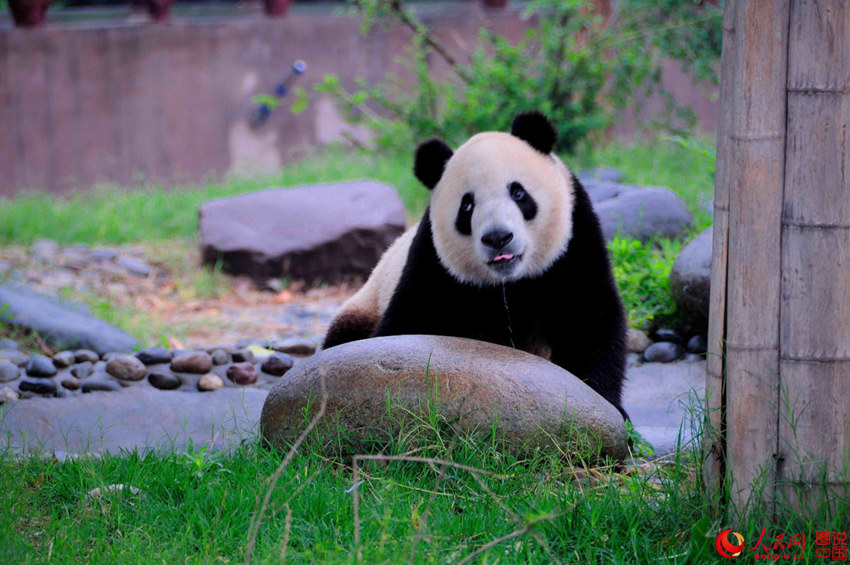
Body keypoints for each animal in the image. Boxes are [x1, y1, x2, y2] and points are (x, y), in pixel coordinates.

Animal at [322, 111, 628, 418]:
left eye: (518, 193)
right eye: (467, 206)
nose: (498, 237)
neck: (508, 284)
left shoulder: (575, 243)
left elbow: (588, 318)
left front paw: (609, 407)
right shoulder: (432, 263)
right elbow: (403, 327)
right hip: (366, 302)